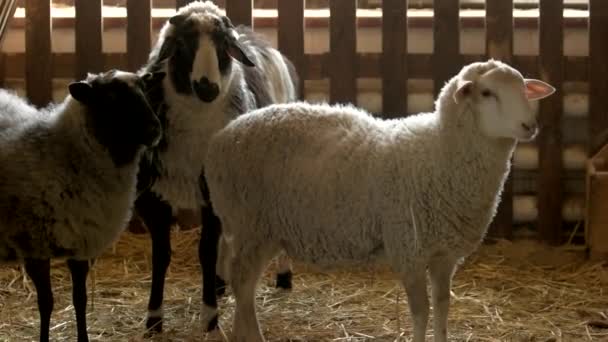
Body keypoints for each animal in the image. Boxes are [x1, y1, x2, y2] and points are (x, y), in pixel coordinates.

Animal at [0, 69, 165, 342]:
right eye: (110, 96)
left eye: (144, 88)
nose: (154, 129)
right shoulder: (35, 245)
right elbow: (46, 302)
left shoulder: (83, 244)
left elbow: (80, 299)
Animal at [204, 59, 556, 342]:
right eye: (487, 93)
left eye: (524, 90)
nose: (530, 126)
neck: (440, 152)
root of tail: (223, 137)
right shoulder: (408, 250)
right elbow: (421, 311)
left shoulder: (444, 255)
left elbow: (443, 307)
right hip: (253, 226)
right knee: (243, 284)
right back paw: (252, 335)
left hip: (253, 229)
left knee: (239, 282)